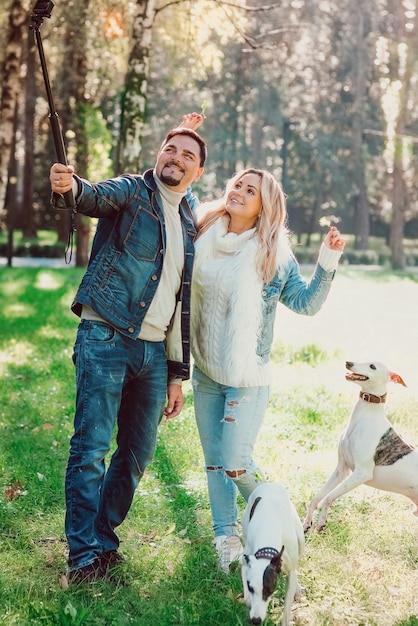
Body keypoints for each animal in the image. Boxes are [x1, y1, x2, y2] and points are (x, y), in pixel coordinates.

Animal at [242, 482, 304, 624]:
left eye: (269, 590)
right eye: (251, 588)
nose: (256, 620)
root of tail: (269, 484)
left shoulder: (290, 572)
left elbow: (286, 610)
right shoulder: (246, 559)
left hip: (301, 538)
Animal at [304, 358, 418, 528]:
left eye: (372, 366)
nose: (348, 363)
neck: (365, 416)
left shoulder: (362, 473)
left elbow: (329, 497)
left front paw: (322, 520)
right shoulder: (342, 469)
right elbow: (318, 496)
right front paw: (307, 522)